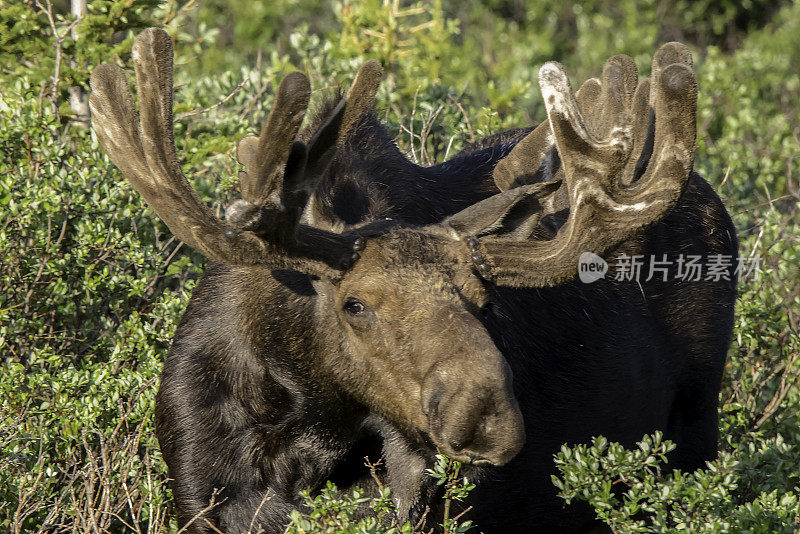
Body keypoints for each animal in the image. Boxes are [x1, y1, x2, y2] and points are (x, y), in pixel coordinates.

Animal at [89, 27, 736, 532]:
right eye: (355, 305)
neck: (302, 429)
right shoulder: (201, 502)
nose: (487, 418)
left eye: (484, 302)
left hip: (696, 432)